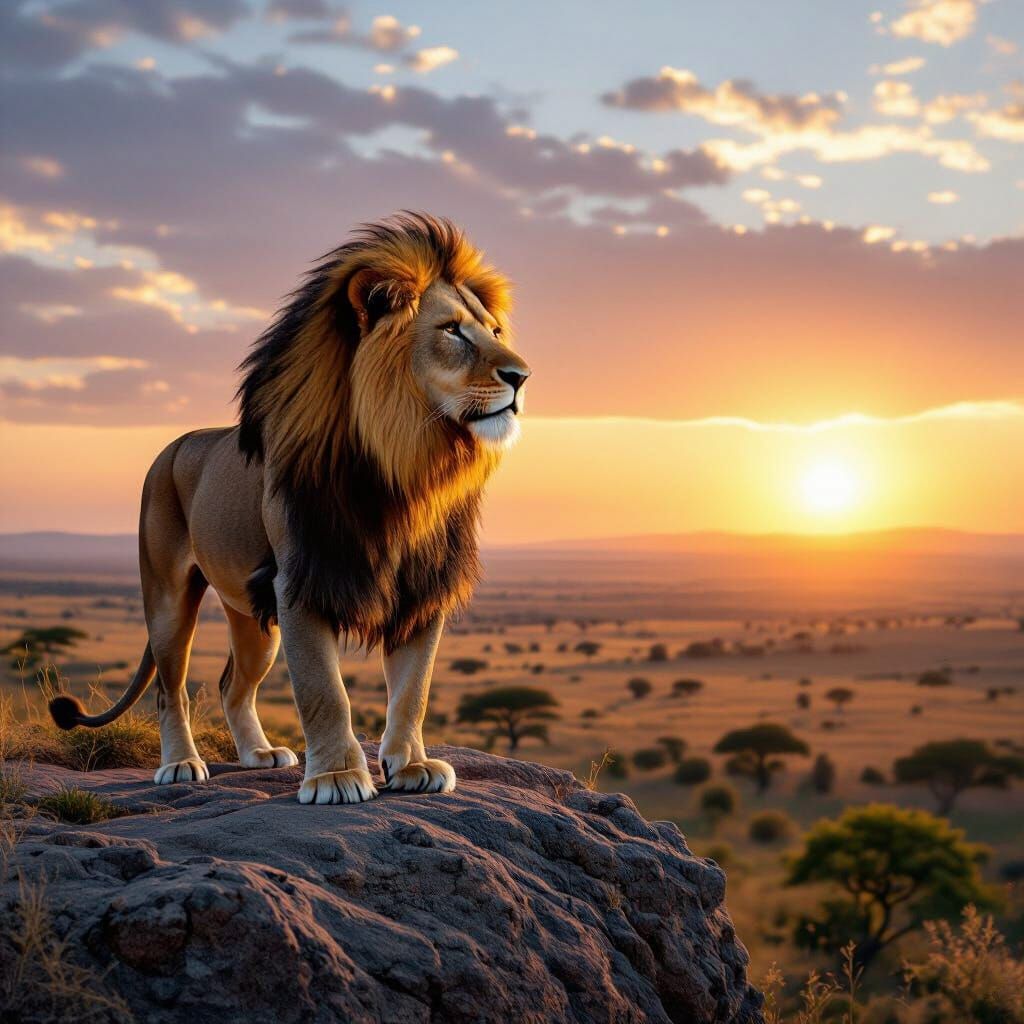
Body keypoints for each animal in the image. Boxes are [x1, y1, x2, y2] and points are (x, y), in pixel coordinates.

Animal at [49, 213, 530, 804]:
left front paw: (412, 764)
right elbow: (325, 691)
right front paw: (336, 777)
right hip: (168, 597)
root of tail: (176, 445)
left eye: (495, 332)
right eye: (452, 331)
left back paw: (258, 755)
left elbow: (413, 689)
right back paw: (181, 764)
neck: (408, 469)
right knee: (170, 688)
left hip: (255, 621)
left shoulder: (421, 588)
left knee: (232, 684)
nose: (522, 376)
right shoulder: (301, 581)